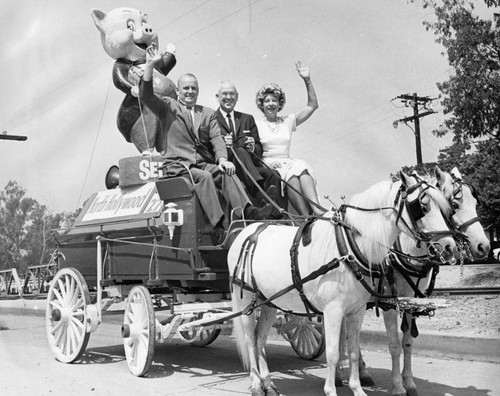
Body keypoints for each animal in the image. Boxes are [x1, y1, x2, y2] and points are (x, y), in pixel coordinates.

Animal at [229, 173, 456, 396]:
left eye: (447, 210)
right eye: (423, 207)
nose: (450, 248)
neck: (349, 248)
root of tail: (248, 230)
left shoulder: (360, 309)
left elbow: (355, 350)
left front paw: (358, 388)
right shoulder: (341, 309)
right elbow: (335, 352)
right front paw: (334, 389)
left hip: (268, 302)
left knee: (260, 338)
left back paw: (268, 383)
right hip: (246, 301)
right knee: (249, 340)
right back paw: (256, 384)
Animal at [356, 166, 492, 396]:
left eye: (475, 204)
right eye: (454, 206)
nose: (484, 246)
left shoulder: (413, 300)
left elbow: (408, 342)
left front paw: (409, 382)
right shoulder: (389, 303)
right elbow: (394, 345)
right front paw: (397, 386)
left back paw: (360, 371)